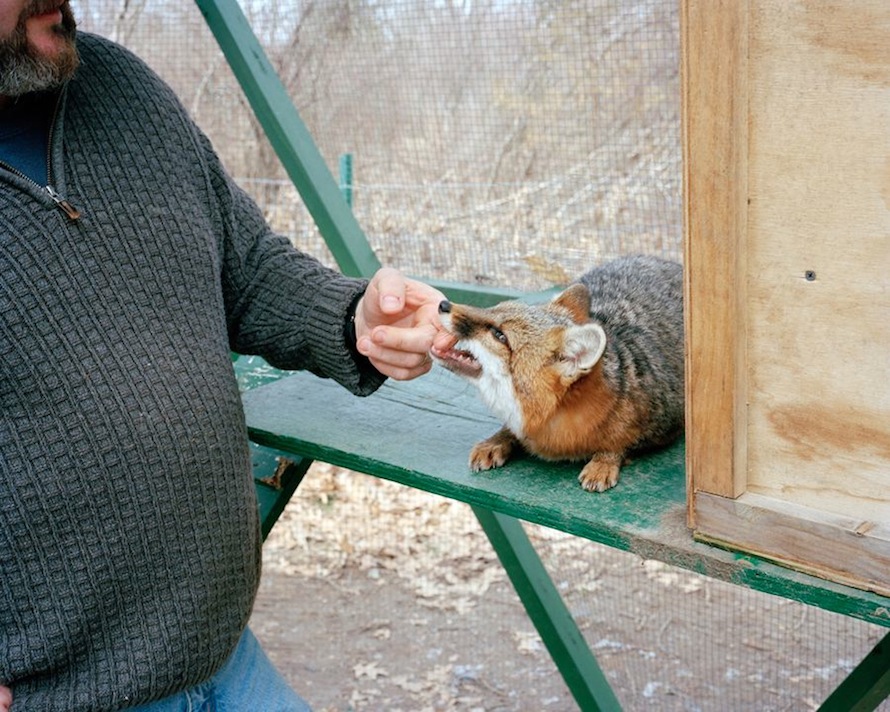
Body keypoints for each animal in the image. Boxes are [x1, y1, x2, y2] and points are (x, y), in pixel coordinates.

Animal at [430, 255, 684, 492]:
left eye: (499, 335)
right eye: (493, 309)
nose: (443, 304)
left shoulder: (666, 427)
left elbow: (620, 444)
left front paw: (604, 461)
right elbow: (511, 429)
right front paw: (497, 440)